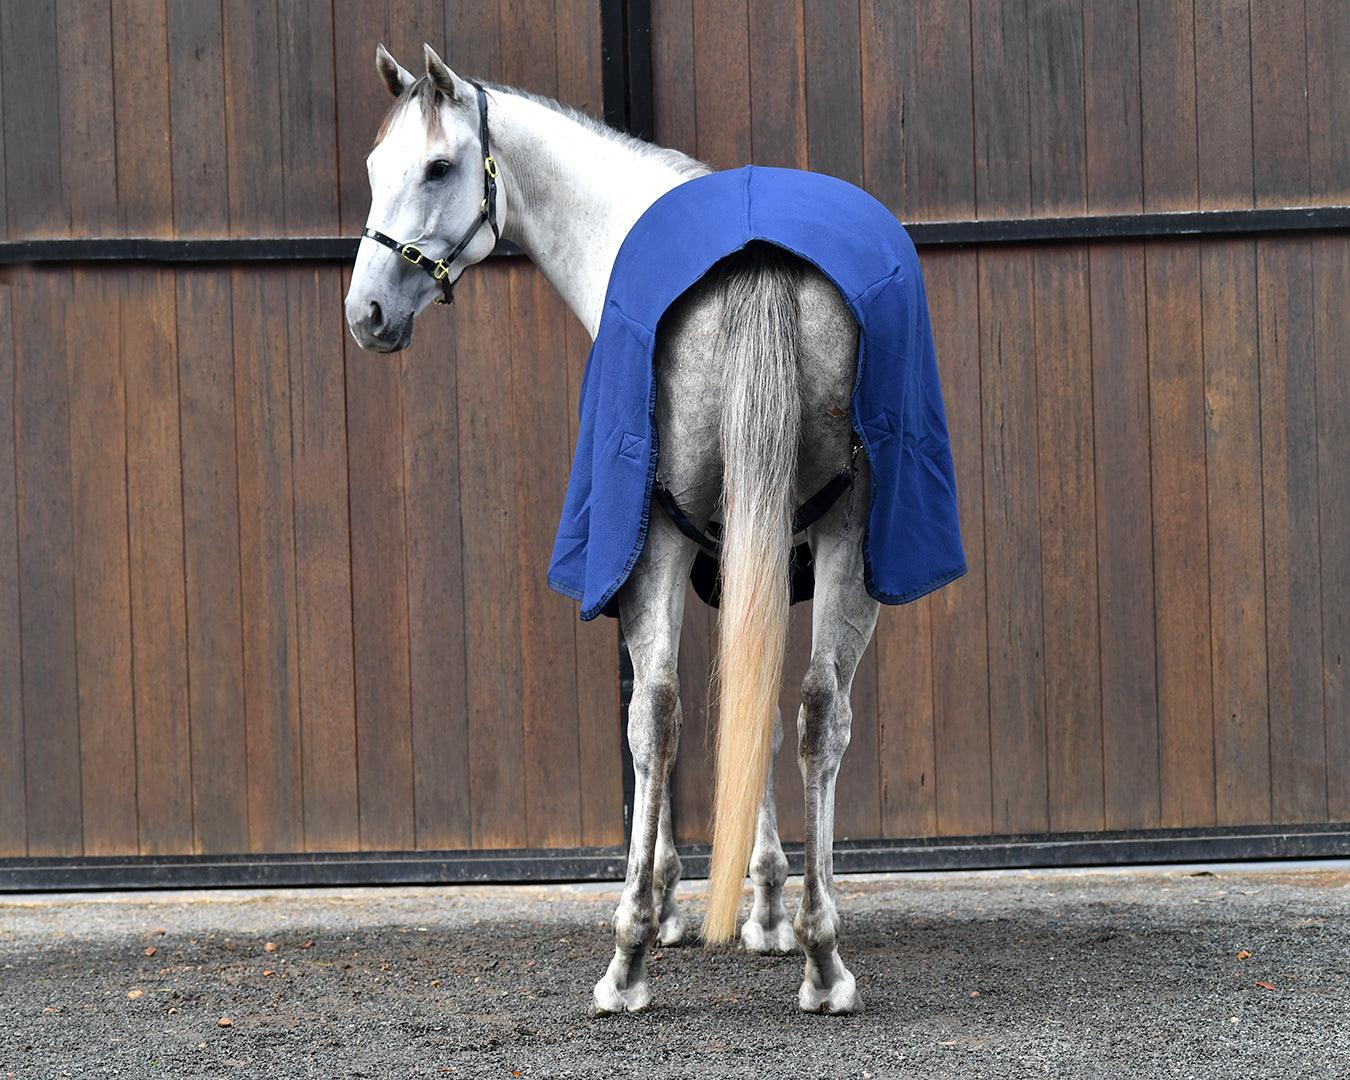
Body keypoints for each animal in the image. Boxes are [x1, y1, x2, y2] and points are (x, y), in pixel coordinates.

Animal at [345, 44, 891, 1016]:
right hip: (843, 541)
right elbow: (752, 699)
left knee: (658, 712)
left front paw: (691, 901)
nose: (365, 313)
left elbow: (670, 713)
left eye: (439, 167)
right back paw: (825, 962)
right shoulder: (753, 549)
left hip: (665, 545)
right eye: (376, 168)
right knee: (820, 710)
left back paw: (629, 956)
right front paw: (767, 910)